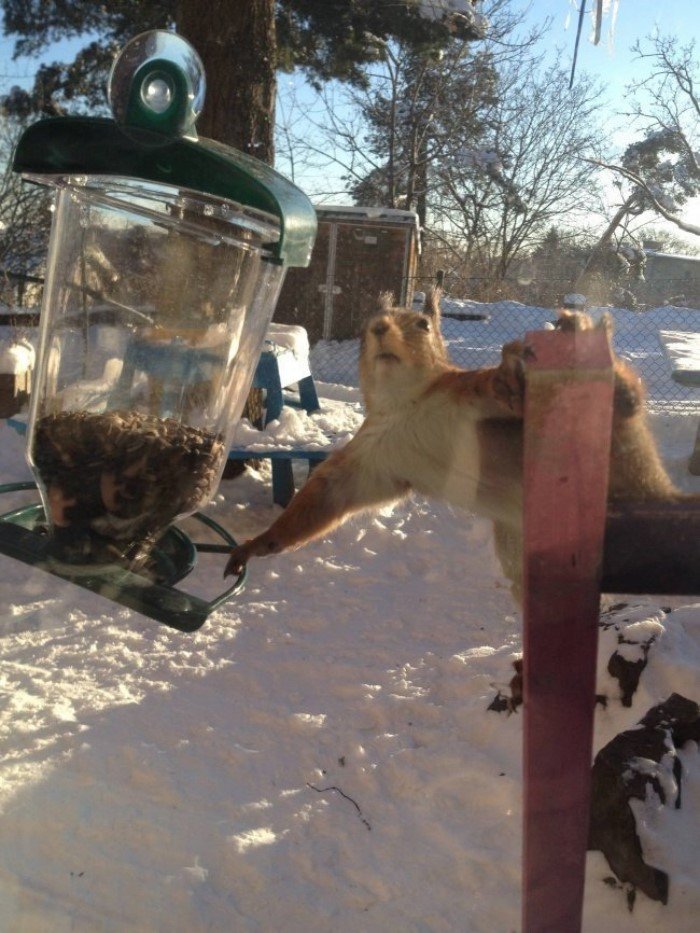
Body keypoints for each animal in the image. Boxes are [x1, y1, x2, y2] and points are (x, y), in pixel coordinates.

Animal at [226, 288, 680, 596]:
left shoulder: (471, 392)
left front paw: (510, 376)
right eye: (367, 323)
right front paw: (258, 544)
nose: (379, 328)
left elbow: (501, 392)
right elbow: (327, 497)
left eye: (424, 325)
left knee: (623, 407)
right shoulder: (371, 457)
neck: (405, 403)